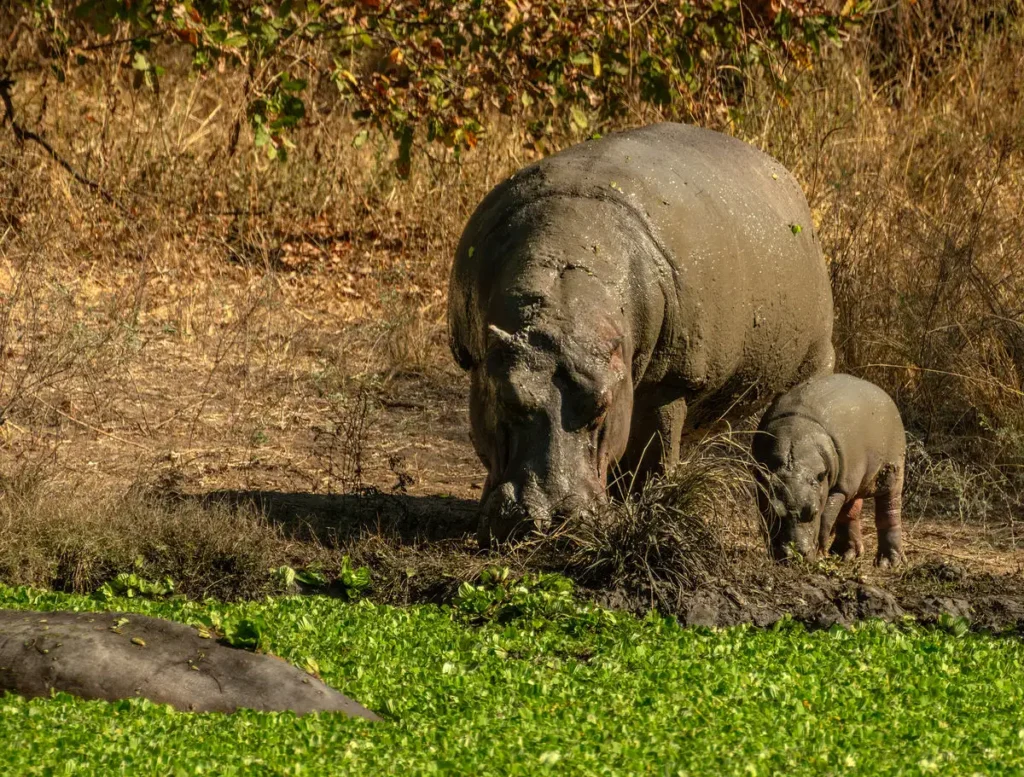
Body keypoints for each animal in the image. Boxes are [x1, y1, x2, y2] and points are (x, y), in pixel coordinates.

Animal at [448, 122, 835, 547]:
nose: (550, 519)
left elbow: (654, 456)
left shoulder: (668, 384)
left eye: (600, 406)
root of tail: (779, 172)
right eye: (506, 396)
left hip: (811, 362)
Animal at [752, 373, 907, 567]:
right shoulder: (761, 489)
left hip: (891, 473)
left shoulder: (837, 489)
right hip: (853, 480)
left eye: (813, 512)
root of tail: (883, 394)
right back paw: (845, 554)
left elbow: (825, 520)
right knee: (850, 513)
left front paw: (819, 553)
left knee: (889, 511)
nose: (795, 555)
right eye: (775, 512)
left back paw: (889, 562)